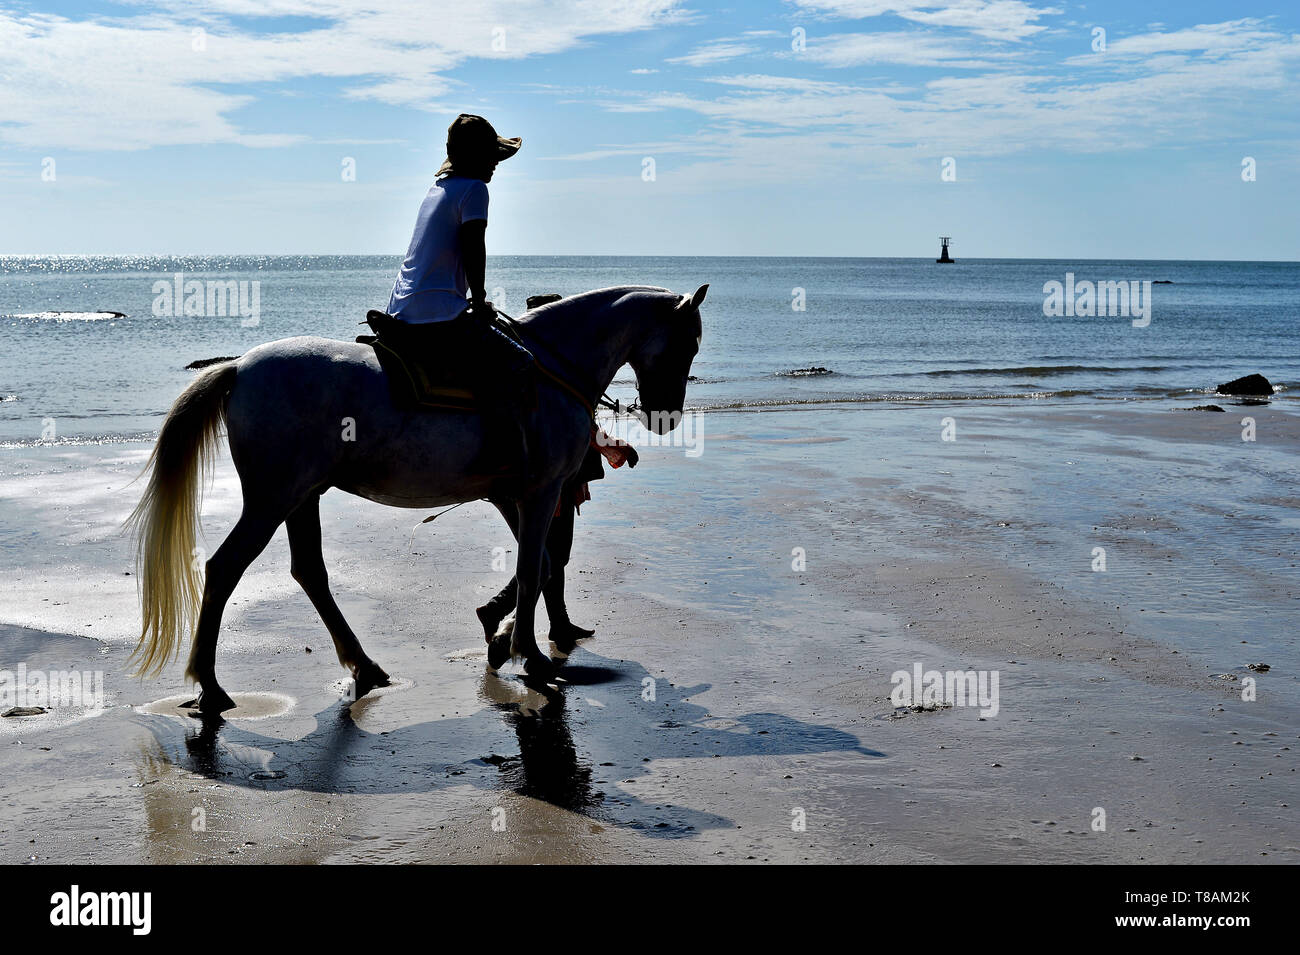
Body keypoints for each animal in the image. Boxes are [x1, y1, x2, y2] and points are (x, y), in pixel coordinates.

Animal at [127, 284, 708, 714]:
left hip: (302, 496)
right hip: (272, 500)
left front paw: (499, 635)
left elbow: (539, 567)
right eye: (690, 343)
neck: (548, 369)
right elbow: (534, 568)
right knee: (225, 569)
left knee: (309, 571)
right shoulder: (540, 492)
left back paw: (364, 665)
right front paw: (528, 653)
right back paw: (210, 685)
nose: (666, 414)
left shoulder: (513, 497)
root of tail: (240, 366)